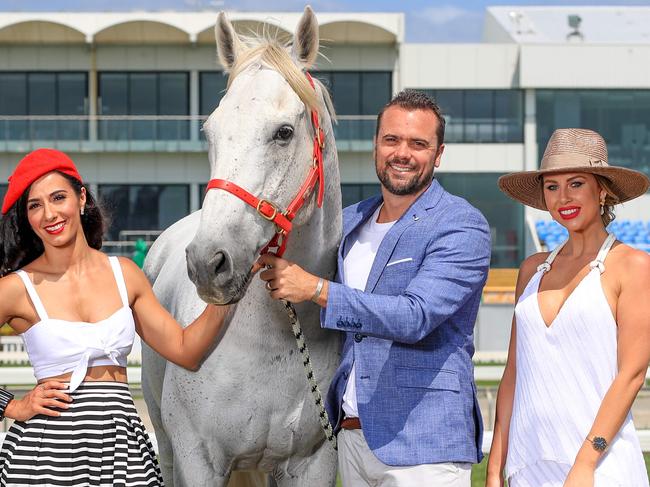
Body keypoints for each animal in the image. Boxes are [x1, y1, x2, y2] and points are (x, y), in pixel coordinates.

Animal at [142, 7, 342, 487]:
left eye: (284, 132)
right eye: (210, 131)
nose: (207, 262)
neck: (270, 341)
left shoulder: (314, 461)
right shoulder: (198, 459)